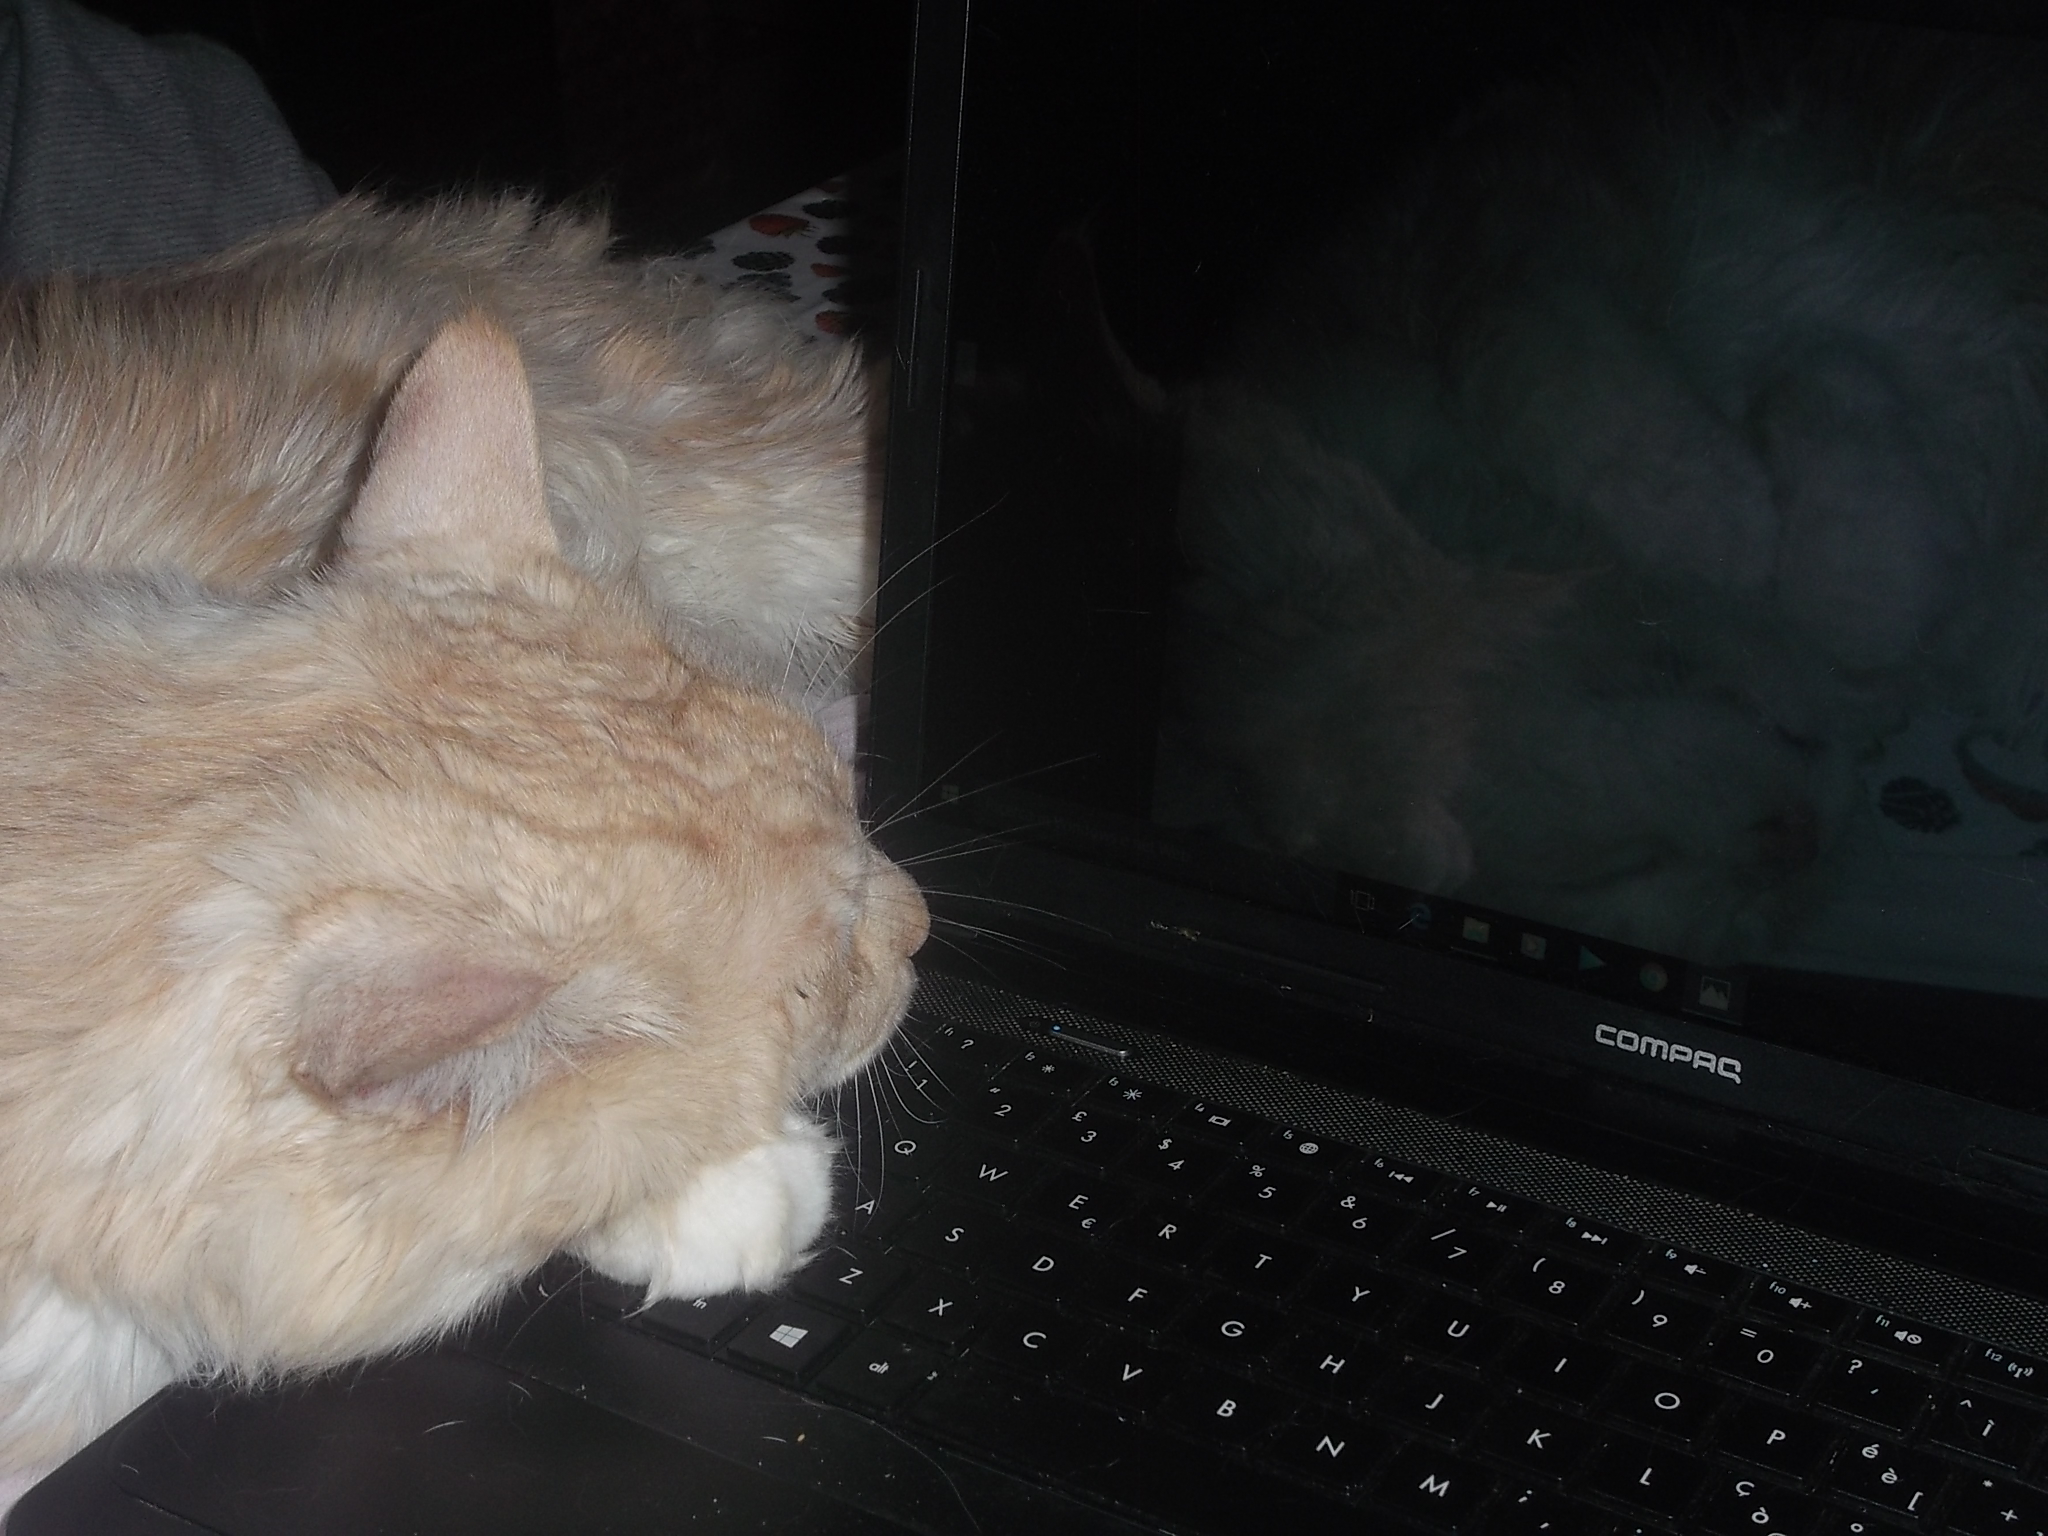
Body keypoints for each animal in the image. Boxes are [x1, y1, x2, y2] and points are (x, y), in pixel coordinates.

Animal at [1160, 22, 2048, 962]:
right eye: (1621, 874)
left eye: (1608, 683)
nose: (1791, 846)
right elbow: (1867, 596)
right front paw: (1824, 406)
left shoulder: (1503, 208)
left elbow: (1524, 356)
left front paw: (1725, 504)